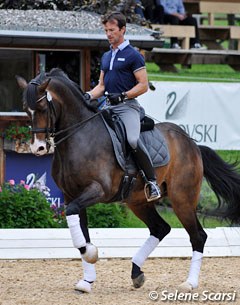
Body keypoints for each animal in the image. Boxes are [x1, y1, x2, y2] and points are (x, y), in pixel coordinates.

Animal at [16, 69, 240, 292]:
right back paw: (136, 273)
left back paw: (189, 283)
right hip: (138, 201)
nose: (38, 148)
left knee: (198, 236)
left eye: (43, 108)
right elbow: (82, 231)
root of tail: (192, 144)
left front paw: (91, 254)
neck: (79, 137)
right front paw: (87, 280)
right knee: (160, 228)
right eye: (26, 110)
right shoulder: (72, 195)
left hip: (182, 200)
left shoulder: (98, 190)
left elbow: (75, 221)